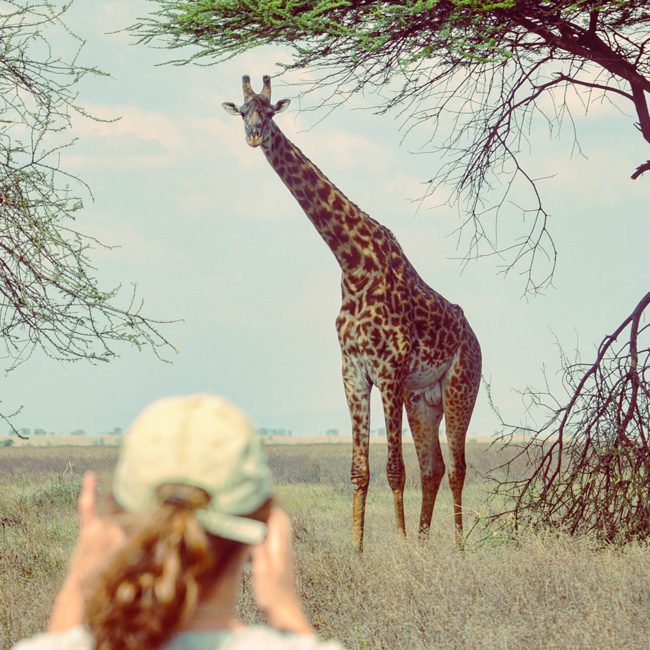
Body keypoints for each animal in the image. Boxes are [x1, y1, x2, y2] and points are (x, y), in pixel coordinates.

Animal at [223, 77, 480, 552]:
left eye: (269, 112)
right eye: (243, 112)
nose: (253, 136)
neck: (353, 264)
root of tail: (474, 336)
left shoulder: (390, 370)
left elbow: (394, 468)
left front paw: (396, 546)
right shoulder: (353, 370)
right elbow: (360, 470)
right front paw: (360, 550)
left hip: (460, 386)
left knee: (456, 467)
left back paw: (455, 546)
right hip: (423, 399)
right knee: (433, 467)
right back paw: (423, 543)